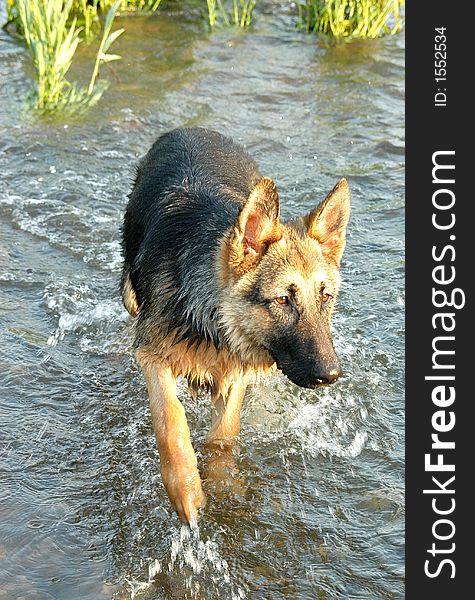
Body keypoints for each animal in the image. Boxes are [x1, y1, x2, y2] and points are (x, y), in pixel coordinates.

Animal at [121, 127, 352, 524]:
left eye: (325, 296)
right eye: (283, 299)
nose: (331, 375)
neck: (209, 320)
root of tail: (191, 129)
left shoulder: (236, 370)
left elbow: (224, 435)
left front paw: (224, 484)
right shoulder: (152, 355)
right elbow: (170, 420)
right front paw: (186, 488)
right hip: (129, 294)